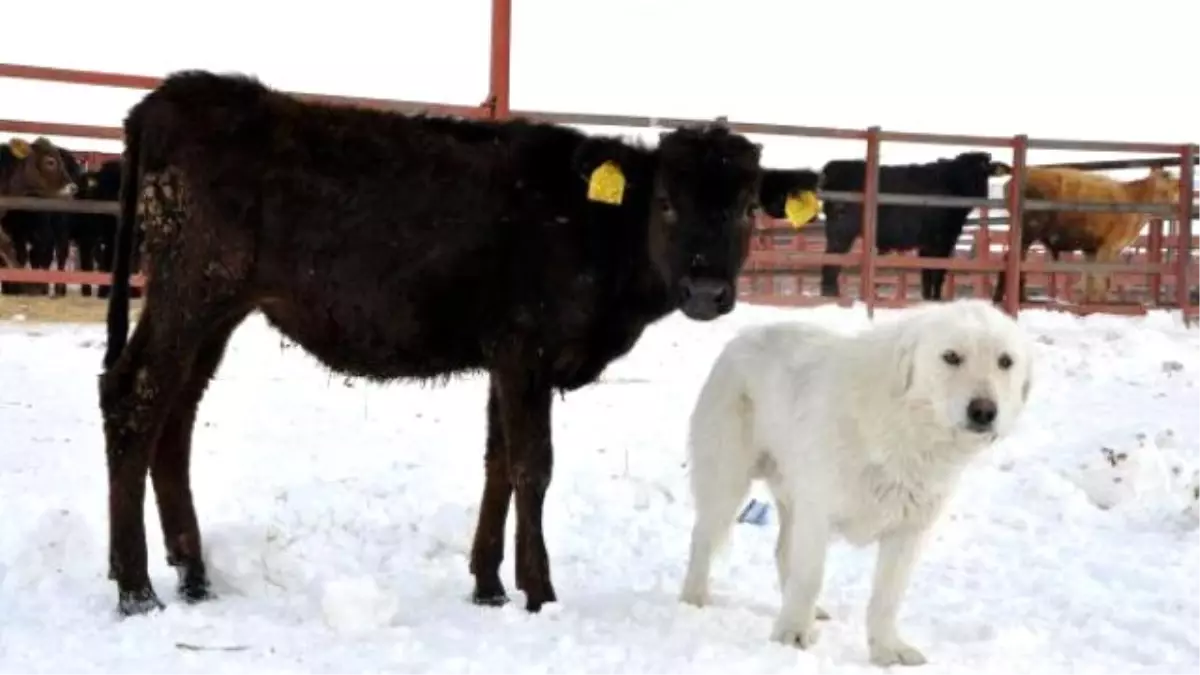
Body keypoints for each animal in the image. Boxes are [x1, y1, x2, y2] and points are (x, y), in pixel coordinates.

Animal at [100, 70, 825, 619]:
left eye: (746, 209)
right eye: (667, 202)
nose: (706, 289)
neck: (590, 229)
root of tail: (172, 95)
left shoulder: (505, 355)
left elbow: (497, 463)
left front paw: (489, 584)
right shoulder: (526, 348)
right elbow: (533, 464)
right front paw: (539, 590)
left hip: (219, 306)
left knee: (176, 417)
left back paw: (193, 573)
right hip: (191, 286)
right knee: (134, 399)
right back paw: (136, 588)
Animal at [681, 297, 1036, 662]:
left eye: (1005, 361)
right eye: (951, 356)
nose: (984, 411)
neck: (908, 429)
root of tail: (744, 336)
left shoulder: (907, 530)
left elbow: (886, 598)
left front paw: (887, 649)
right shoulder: (819, 513)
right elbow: (810, 576)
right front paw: (792, 635)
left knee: (781, 551)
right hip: (727, 480)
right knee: (703, 537)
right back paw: (694, 598)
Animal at [816, 153, 1012, 300]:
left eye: (983, 167)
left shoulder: (928, 245)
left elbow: (927, 274)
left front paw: (928, 298)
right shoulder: (942, 240)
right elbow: (937, 273)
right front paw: (936, 299)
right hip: (842, 231)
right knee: (831, 262)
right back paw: (831, 295)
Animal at [993, 165, 1180, 302]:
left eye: (1176, 191)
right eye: (1164, 190)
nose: (1174, 208)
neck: (1132, 198)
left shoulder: (1092, 249)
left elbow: (1091, 278)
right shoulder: (1108, 247)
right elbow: (1101, 278)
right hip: (1026, 234)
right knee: (1013, 260)